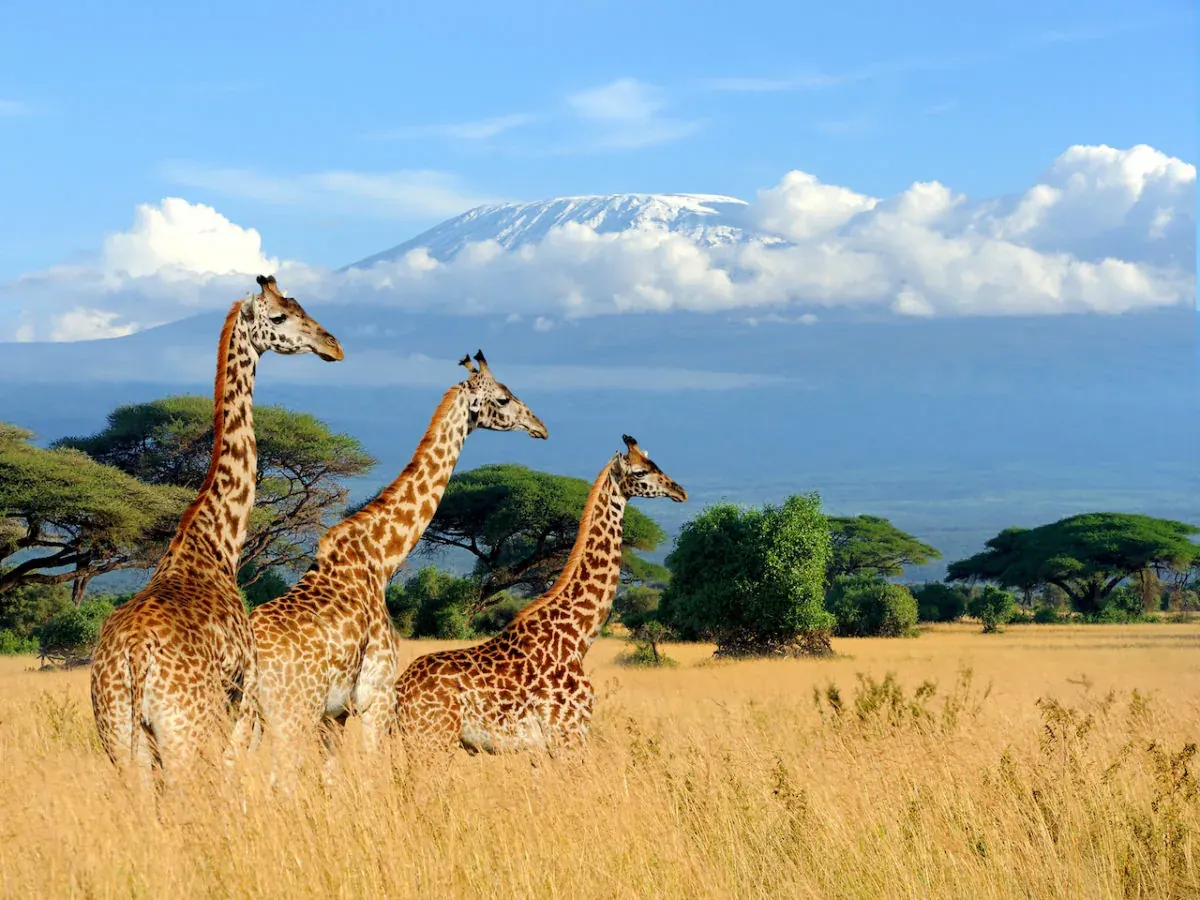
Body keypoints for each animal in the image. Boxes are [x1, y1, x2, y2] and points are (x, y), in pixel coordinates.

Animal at [89, 275, 344, 786]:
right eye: (281, 315)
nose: (334, 346)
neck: (217, 541)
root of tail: (133, 657)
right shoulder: (243, 699)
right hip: (182, 731)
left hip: (119, 736)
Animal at [247, 350, 548, 784]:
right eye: (503, 398)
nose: (540, 427)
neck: (381, 558)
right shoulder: (377, 697)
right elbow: (371, 772)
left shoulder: (336, 714)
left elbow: (331, 777)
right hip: (291, 712)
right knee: (279, 779)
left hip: (244, 716)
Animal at [392, 434, 686, 764]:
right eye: (639, 472)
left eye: (654, 463)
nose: (679, 491)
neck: (579, 636)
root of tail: (399, 691)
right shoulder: (568, 733)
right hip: (432, 739)